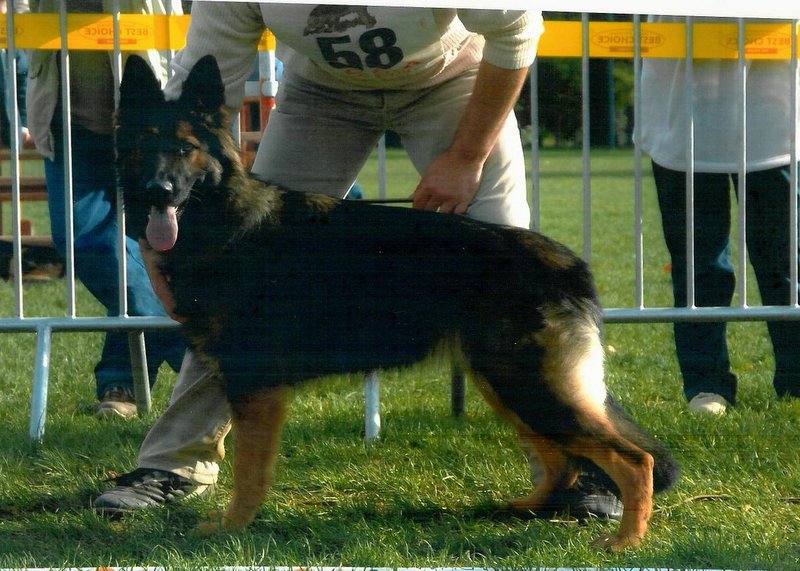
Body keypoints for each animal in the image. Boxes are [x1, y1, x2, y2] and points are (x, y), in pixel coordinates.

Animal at [116, 54, 678, 551]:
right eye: (143, 145)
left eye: (186, 148)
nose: (158, 191)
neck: (225, 220)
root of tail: (569, 263)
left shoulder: (254, 387)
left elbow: (250, 469)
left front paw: (233, 526)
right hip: (503, 382)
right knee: (563, 461)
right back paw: (525, 509)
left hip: (527, 385)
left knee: (634, 462)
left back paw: (625, 541)